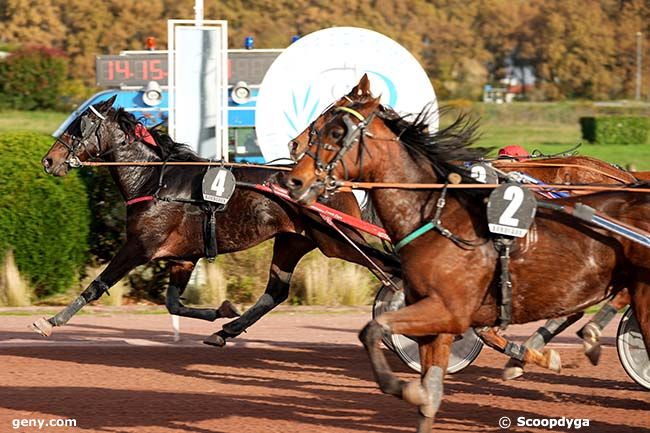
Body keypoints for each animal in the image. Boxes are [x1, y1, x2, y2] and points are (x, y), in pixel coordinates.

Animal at [284, 76, 648, 430]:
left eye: (333, 129)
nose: (294, 170)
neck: (436, 213)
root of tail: (626, 177)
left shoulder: (454, 307)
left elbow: (388, 329)